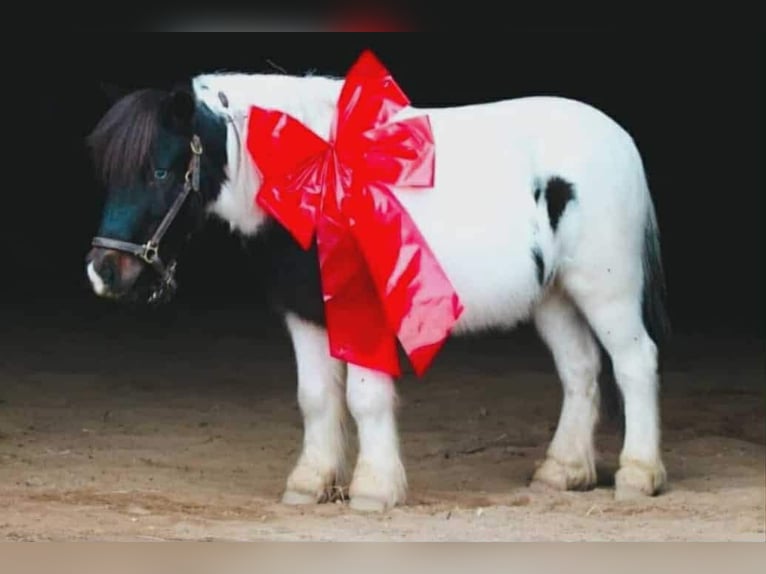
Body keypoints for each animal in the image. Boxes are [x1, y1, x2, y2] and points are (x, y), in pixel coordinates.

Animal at [84, 66, 670, 512]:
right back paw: (562, 471)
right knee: (580, 371)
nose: (104, 272)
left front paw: (373, 489)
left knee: (634, 363)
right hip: (553, 297)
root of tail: (619, 138)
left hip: (605, 290)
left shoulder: (360, 309)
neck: (318, 183)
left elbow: (365, 399)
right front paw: (311, 483)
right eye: (110, 175)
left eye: (161, 172)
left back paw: (639, 475)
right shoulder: (304, 312)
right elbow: (316, 397)